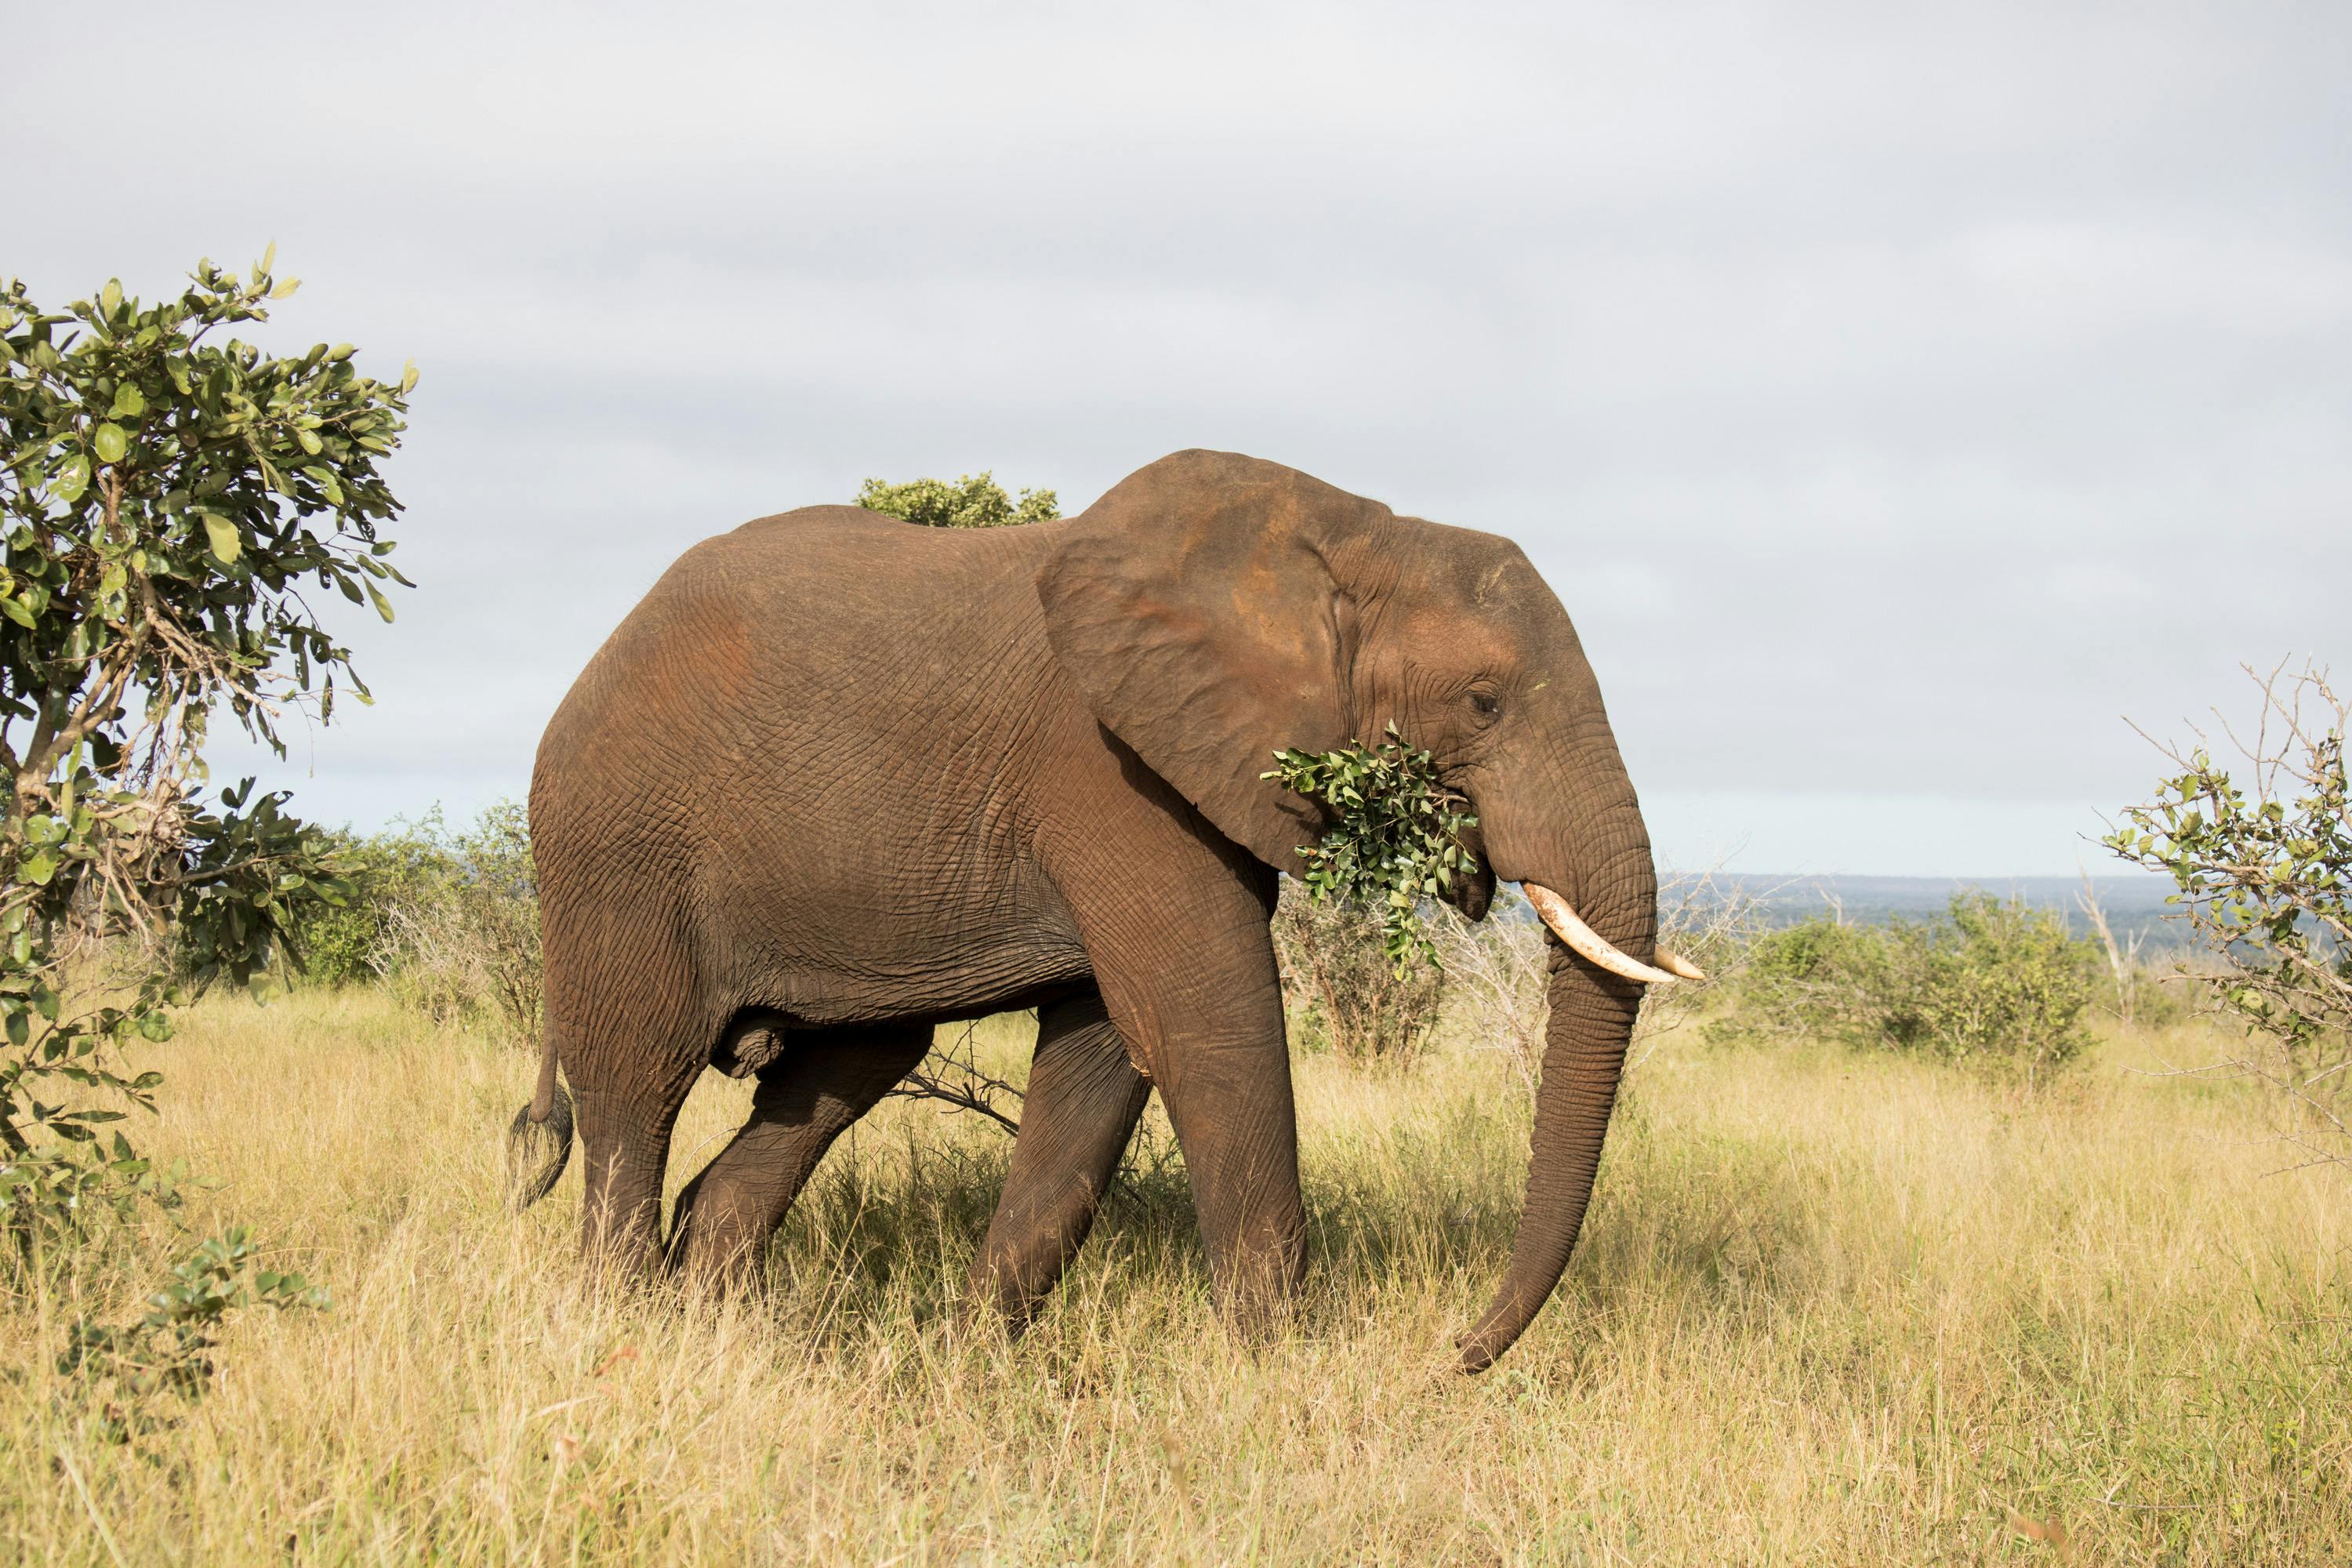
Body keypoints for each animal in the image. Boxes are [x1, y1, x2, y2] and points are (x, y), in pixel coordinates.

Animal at [510, 446, 1693, 1363]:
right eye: (1484, 701)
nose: (1453, 1353)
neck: (1354, 534)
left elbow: (1099, 1060)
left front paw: (970, 1365)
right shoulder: (1111, 769)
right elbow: (1209, 1025)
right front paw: (1288, 1378)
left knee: (840, 1074)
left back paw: (714, 1320)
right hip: (617, 854)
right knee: (637, 1086)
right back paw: (621, 1331)